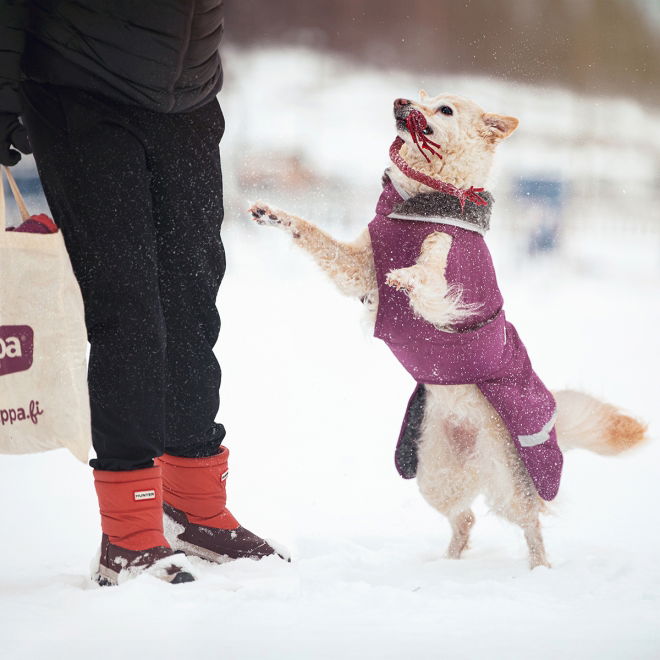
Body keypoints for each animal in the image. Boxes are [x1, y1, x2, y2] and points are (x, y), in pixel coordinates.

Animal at [250, 91, 648, 568]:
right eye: (422, 96)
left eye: (445, 110)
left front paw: (407, 276)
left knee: (530, 521)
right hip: (435, 470)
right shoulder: (358, 270)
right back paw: (447, 562)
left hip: (506, 478)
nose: (401, 100)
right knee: (466, 519)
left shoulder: (447, 287)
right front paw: (274, 214)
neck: (424, 202)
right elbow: (312, 234)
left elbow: (430, 270)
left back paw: (539, 568)